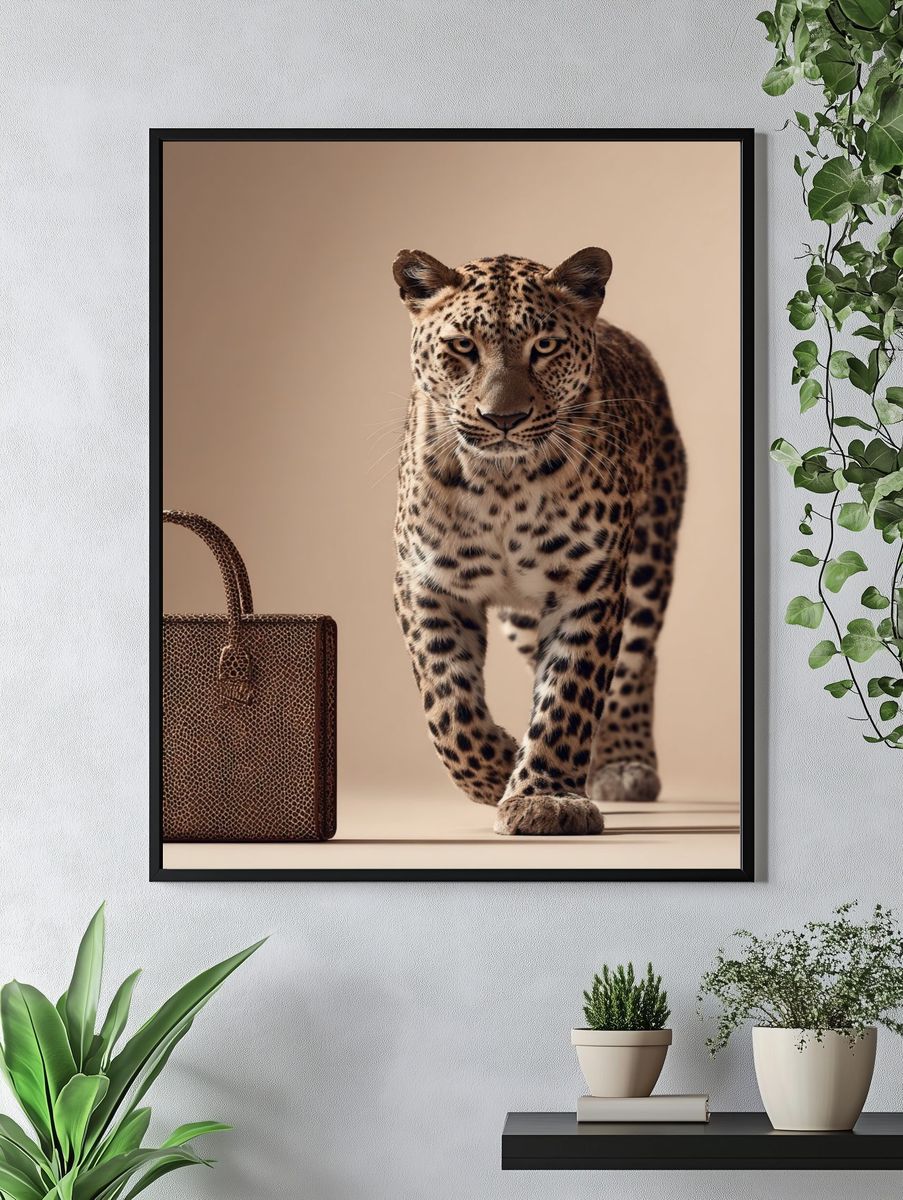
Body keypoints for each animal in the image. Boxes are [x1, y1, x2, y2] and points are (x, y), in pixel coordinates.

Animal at [391, 247, 686, 836]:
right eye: (463, 347)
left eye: (544, 346)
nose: (503, 418)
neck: (502, 483)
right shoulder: (427, 584)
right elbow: (447, 707)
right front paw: (499, 767)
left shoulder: (589, 585)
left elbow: (570, 694)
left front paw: (545, 796)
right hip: (521, 617)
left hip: (648, 561)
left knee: (636, 661)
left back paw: (623, 763)